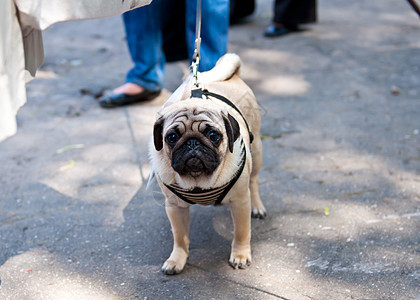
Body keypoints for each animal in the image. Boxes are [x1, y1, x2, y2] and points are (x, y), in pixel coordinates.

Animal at [149, 53, 266, 274]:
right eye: (171, 137)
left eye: (213, 135)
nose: (192, 143)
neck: (198, 182)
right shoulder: (174, 207)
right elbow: (180, 238)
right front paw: (177, 259)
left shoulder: (240, 202)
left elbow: (241, 232)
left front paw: (240, 255)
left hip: (256, 153)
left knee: (254, 181)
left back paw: (257, 206)